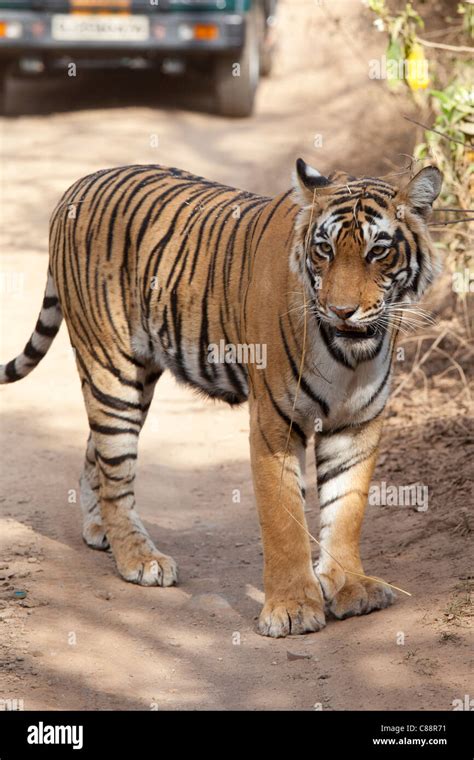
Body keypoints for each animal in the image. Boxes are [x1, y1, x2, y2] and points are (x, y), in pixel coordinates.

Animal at [1, 159, 442, 636]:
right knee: (116, 467)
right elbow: (283, 519)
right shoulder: (274, 423)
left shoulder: (357, 423)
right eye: (324, 249)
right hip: (111, 368)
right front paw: (291, 609)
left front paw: (350, 587)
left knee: (95, 450)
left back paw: (99, 526)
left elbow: (346, 510)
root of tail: (79, 184)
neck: (351, 356)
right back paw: (139, 558)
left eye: (378, 251)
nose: (341, 311)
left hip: (137, 375)